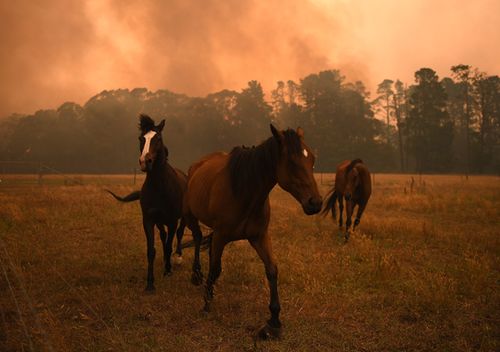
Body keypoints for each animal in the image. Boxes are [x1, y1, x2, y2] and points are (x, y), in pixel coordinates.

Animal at [108, 115, 188, 292]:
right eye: (141, 138)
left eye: (158, 138)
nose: (146, 161)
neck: (160, 186)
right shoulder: (149, 220)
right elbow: (151, 250)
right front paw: (150, 283)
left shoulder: (172, 221)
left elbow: (169, 244)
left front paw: (168, 271)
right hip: (160, 222)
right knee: (164, 236)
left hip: (185, 217)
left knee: (179, 234)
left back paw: (177, 258)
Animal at [182, 125, 322, 340]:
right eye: (291, 161)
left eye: (312, 159)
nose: (315, 203)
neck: (244, 192)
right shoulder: (221, 236)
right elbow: (215, 268)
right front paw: (206, 302)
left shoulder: (259, 237)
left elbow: (271, 269)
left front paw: (274, 321)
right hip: (190, 216)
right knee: (197, 239)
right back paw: (196, 275)